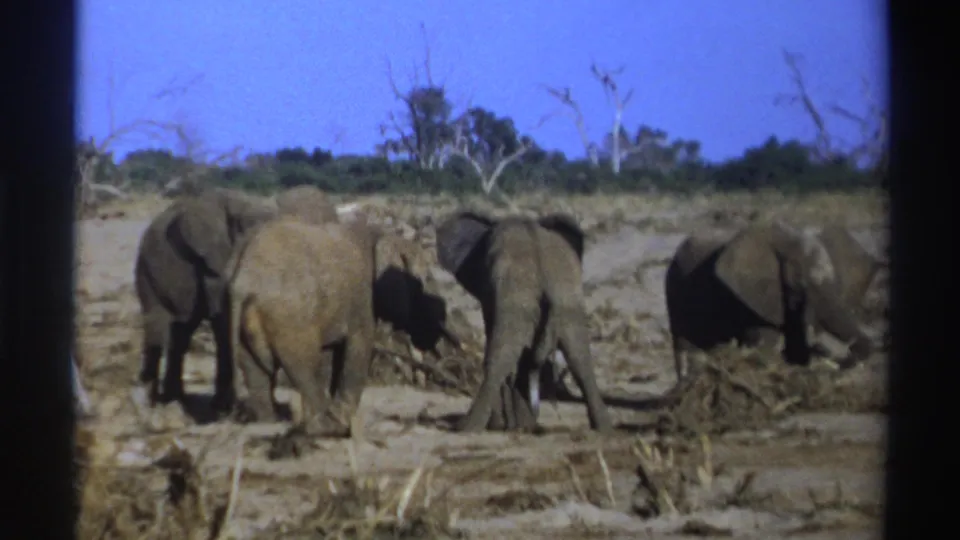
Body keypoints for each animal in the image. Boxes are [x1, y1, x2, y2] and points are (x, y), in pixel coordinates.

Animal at [226, 218, 460, 436]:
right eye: (423, 282)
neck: (381, 234)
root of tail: (245, 278)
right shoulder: (362, 300)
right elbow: (359, 347)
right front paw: (343, 416)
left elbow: (335, 355)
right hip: (291, 317)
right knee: (304, 366)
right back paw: (326, 425)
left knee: (254, 368)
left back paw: (269, 421)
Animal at [435, 210, 614, 434]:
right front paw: (521, 425)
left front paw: (507, 425)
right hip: (567, 302)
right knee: (579, 358)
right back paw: (603, 428)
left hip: (519, 300)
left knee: (500, 357)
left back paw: (468, 427)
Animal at [664, 221, 879, 387]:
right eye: (800, 282)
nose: (820, 347)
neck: (786, 243)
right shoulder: (750, 298)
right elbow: (765, 343)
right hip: (675, 294)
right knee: (685, 346)